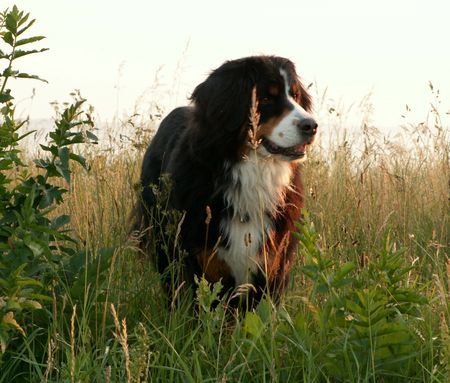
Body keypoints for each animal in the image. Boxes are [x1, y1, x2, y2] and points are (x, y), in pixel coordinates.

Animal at [137, 54, 316, 308]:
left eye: (296, 96)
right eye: (266, 98)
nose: (311, 126)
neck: (251, 176)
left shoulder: (271, 265)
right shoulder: (203, 264)